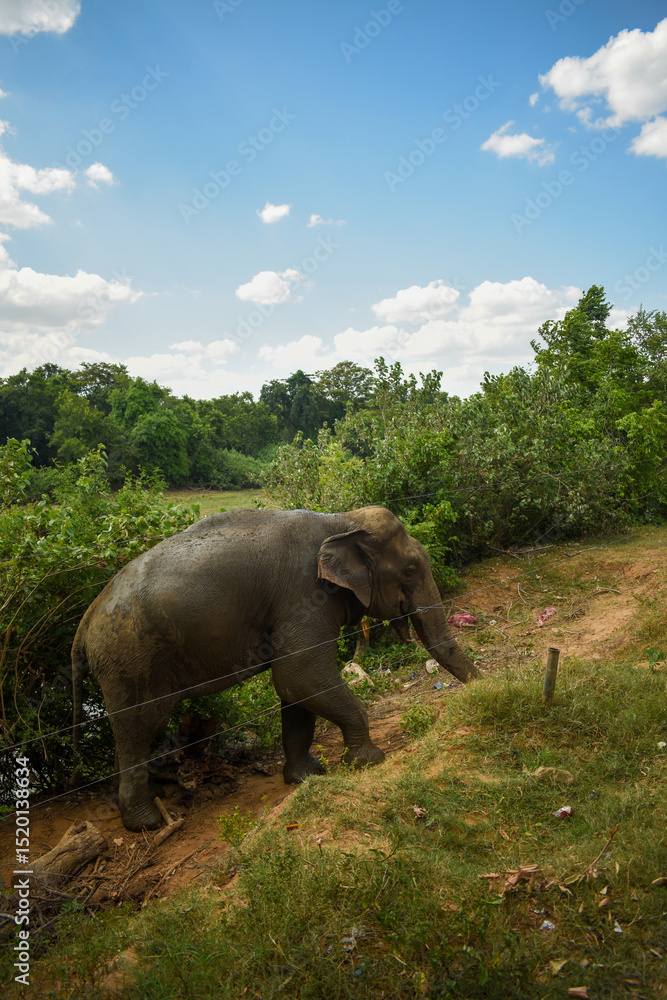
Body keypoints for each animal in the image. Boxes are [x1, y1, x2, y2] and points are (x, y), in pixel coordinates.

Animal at [71, 505, 479, 830]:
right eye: (410, 570)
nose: (483, 687)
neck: (340, 520)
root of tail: (83, 625)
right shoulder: (304, 596)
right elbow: (300, 676)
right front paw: (368, 761)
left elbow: (295, 689)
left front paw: (307, 776)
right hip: (130, 660)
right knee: (140, 726)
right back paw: (147, 823)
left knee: (133, 732)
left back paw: (156, 797)